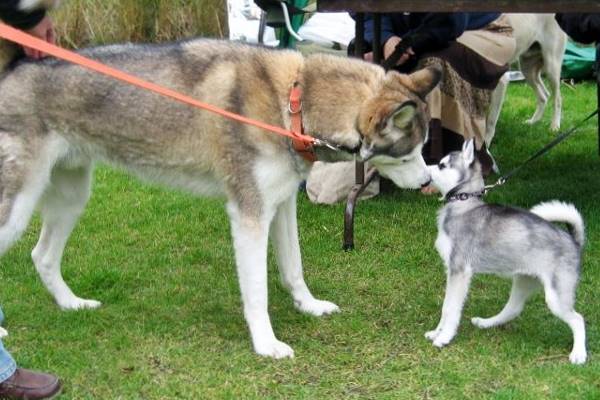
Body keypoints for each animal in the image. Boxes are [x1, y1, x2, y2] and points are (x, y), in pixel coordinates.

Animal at [0, 31, 440, 358]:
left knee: (42, 256)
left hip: (72, 200)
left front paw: (309, 306)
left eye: (424, 148)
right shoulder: (249, 216)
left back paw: (71, 304)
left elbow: (294, 269)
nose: (426, 182)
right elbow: (258, 292)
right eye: (408, 154)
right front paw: (266, 345)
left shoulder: (281, 206)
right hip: (16, 211)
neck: (293, 103)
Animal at [426, 139, 584, 364]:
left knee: (578, 319)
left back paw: (579, 353)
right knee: (512, 309)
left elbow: (450, 307)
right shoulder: (452, 272)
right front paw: (436, 332)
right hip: (524, 280)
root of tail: (574, 241)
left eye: (441, 165)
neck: (464, 203)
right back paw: (486, 323)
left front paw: (444, 337)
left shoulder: (459, 272)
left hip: (556, 296)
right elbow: (445, 305)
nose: (425, 169)